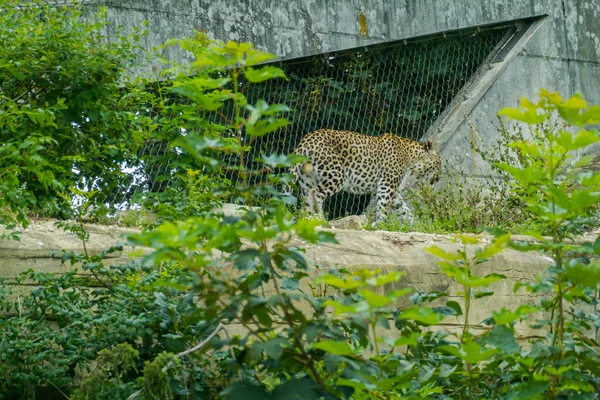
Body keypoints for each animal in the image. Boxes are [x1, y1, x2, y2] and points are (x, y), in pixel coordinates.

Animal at [290, 128, 440, 225]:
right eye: (439, 162)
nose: (439, 178)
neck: (412, 159)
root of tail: (307, 140)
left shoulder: (393, 190)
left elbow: (403, 209)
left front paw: (414, 225)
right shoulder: (387, 185)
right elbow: (384, 206)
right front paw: (379, 225)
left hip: (307, 181)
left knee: (306, 202)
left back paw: (309, 221)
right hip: (336, 175)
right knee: (316, 193)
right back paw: (321, 219)